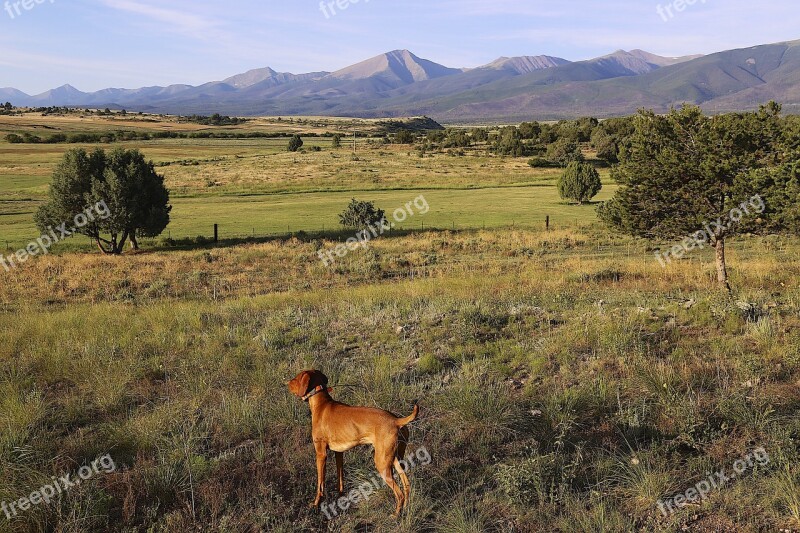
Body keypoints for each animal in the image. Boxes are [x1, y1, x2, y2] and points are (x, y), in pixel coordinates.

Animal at [290, 368, 424, 512]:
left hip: (382, 463)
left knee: (399, 494)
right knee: (407, 485)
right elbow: (340, 477)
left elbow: (320, 483)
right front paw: (340, 498)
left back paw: (396, 514)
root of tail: (396, 420)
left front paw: (316, 504)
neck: (322, 404)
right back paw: (405, 508)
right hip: (395, 459)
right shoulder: (339, 453)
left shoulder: (321, 454)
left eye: (296, 378)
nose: (287, 382)